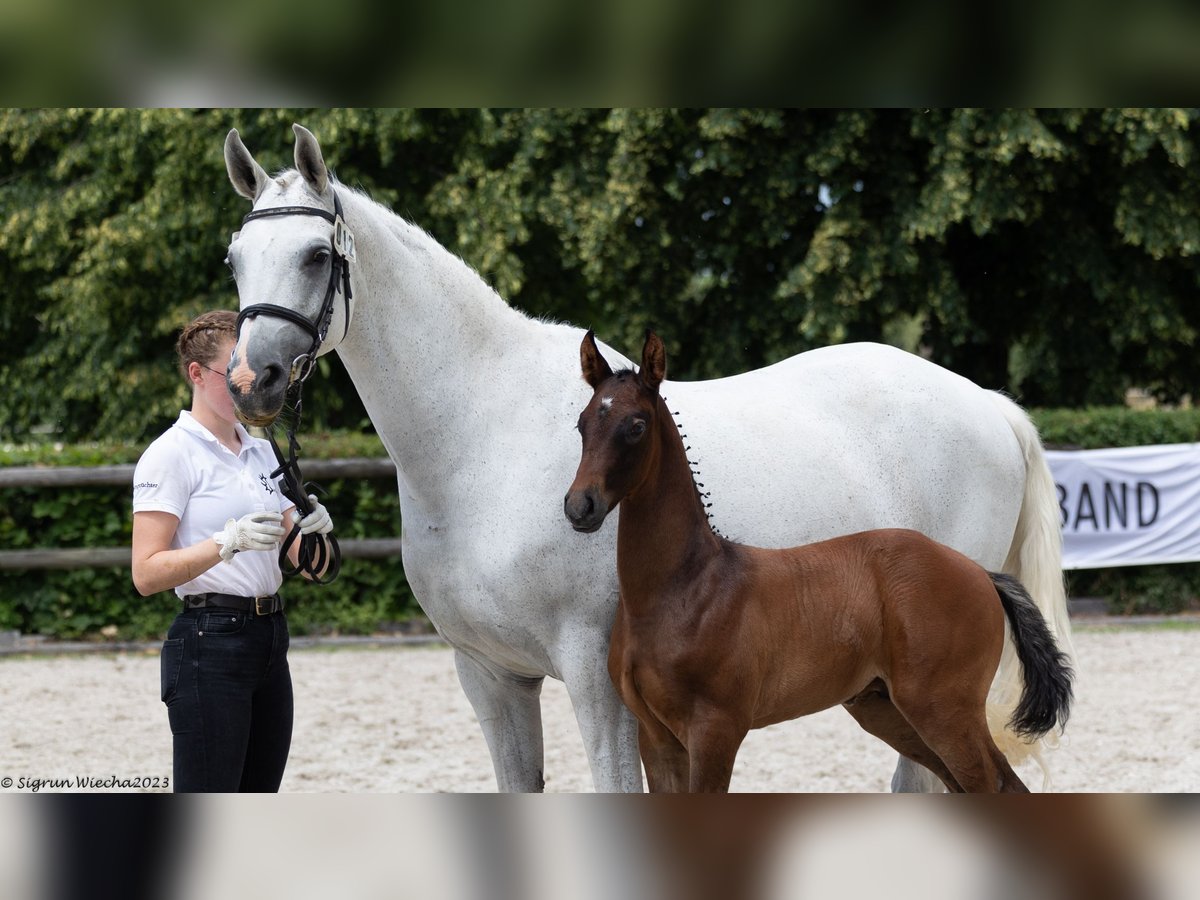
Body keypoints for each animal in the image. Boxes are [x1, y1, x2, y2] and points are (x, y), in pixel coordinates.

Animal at [566, 333, 1075, 796]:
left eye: (636, 425)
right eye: (582, 423)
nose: (579, 506)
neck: (684, 587)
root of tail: (980, 574)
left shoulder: (715, 730)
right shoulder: (656, 738)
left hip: (946, 711)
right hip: (888, 709)